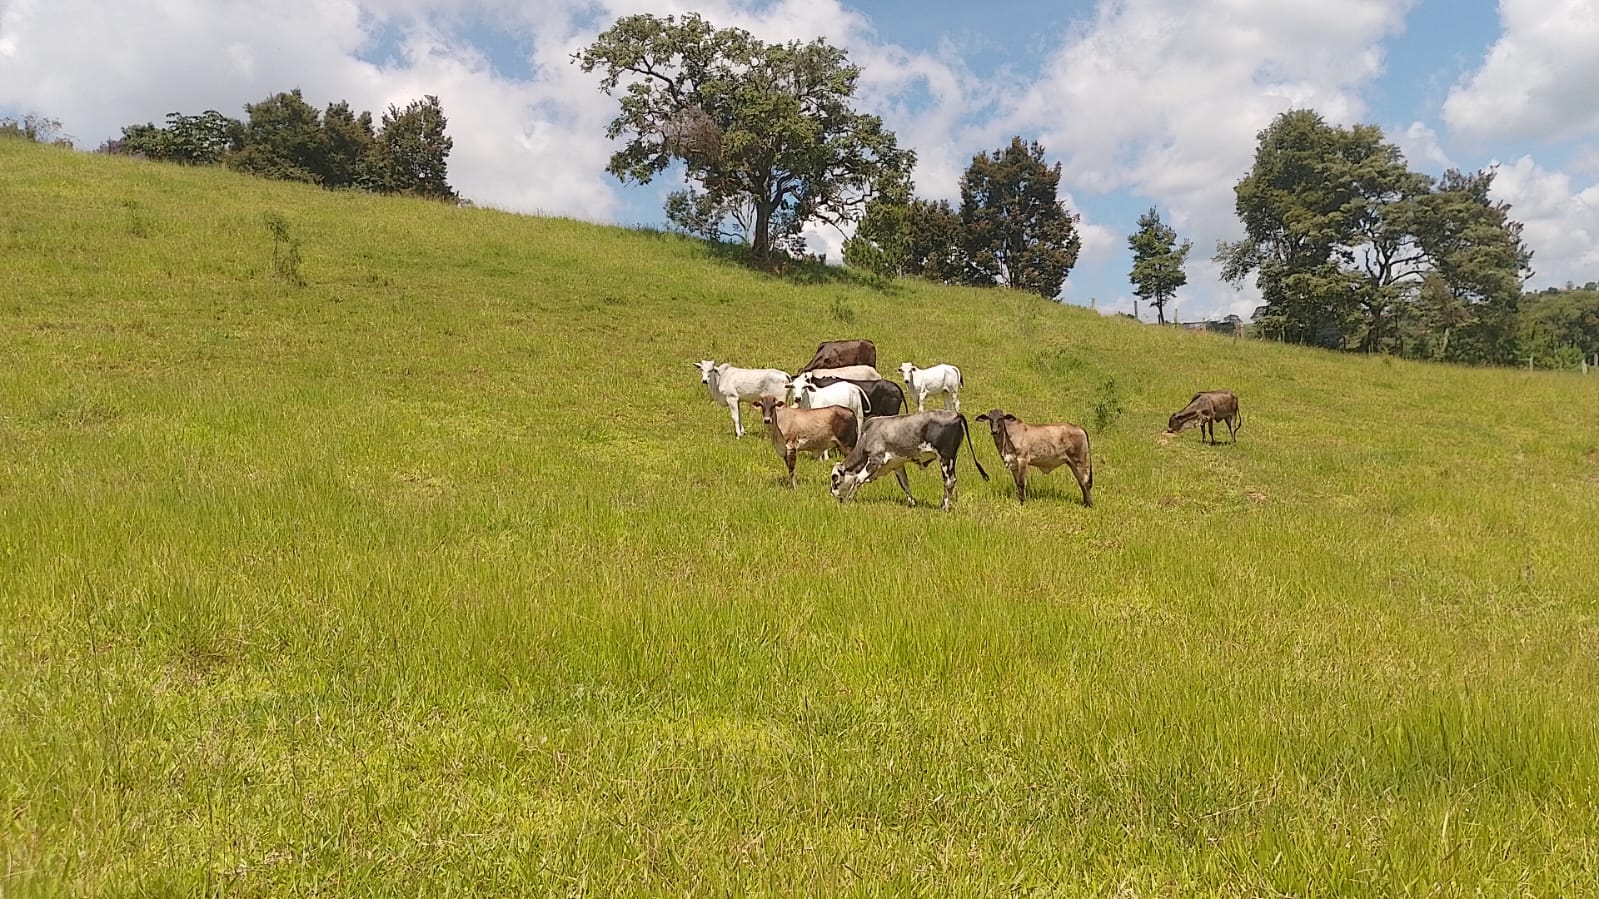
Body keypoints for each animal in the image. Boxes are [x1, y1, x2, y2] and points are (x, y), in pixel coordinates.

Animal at [825, 407, 984, 508]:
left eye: (834, 478)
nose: (832, 494)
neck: (867, 435)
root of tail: (956, 414)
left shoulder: (875, 460)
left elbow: (858, 479)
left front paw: (849, 500)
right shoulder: (897, 464)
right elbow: (904, 483)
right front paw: (912, 502)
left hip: (945, 458)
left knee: (949, 481)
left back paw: (944, 506)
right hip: (952, 458)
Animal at [965, 407, 1093, 505]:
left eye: (1001, 418)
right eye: (990, 419)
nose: (994, 431)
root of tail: (1079, 428)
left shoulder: (1022, 460)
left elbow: (1022, 483)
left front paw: (1022, 503)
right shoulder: (1013, 464)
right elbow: (1017, 484)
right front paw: (1020, 500)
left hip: (1080, 461)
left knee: (1085, 482)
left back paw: (1089, 504)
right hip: (1072, 463)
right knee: (1081, 482)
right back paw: (1085, 503)